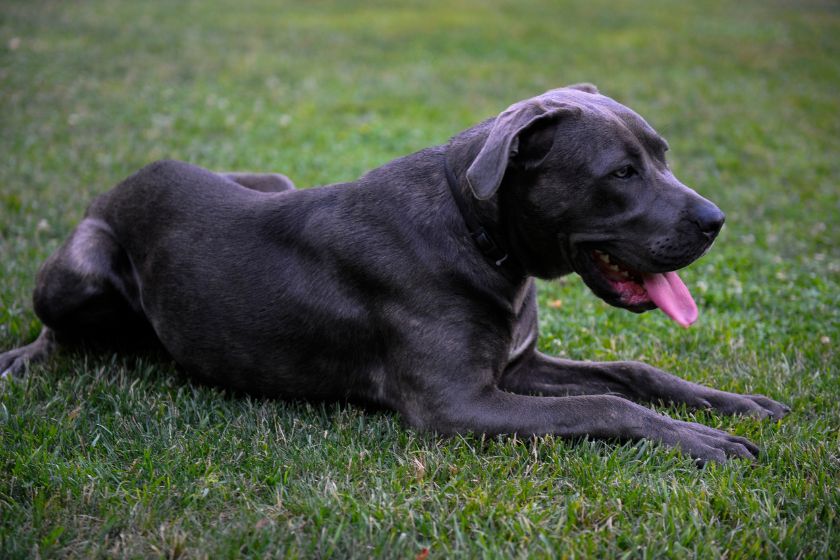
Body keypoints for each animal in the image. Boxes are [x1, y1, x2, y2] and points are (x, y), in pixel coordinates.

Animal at [0, 85, 788, 464]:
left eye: (661, 153)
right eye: (621, 173)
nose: (715, 219)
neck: (480, 236)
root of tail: (118, 185)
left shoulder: (515, 369)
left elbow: (632, 373)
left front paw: (735, 405)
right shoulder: (458, 406)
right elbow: (606, 406)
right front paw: (705, 442)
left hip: (272, 178)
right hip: (80, 272)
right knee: (56, 329)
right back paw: (24, 359)